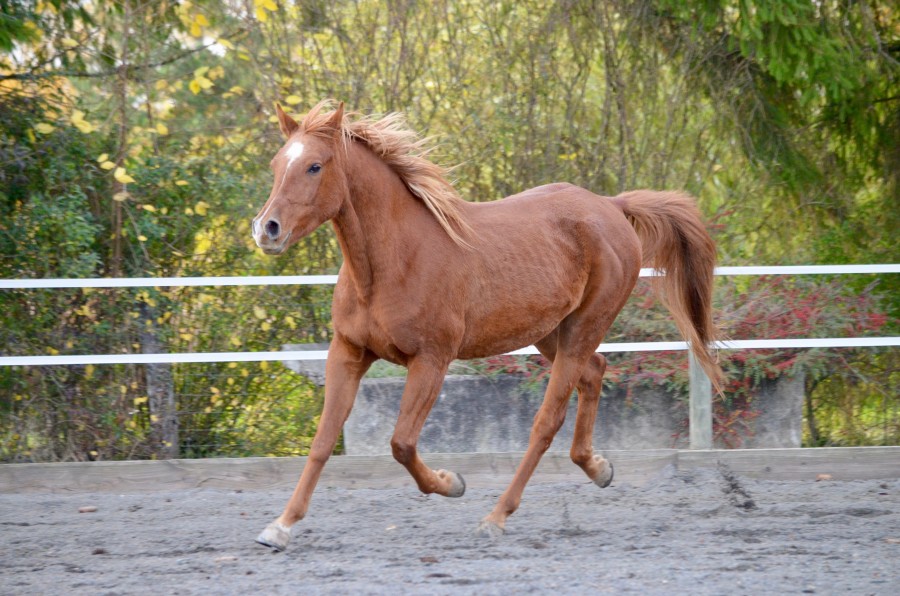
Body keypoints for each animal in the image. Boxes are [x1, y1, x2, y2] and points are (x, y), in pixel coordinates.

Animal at [253, 101, 724, 548]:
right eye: (276, 165)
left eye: (315, 165)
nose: (266, 229)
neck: (393, 263)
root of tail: (611, 206)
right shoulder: (348, 352)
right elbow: (322, 441)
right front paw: (280, 527)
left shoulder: (432, 360)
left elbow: (401, 444)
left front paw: (452, 483)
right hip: (552, 333)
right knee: (595, 373)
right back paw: (598, 468)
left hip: (583, 329)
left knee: (547, 421)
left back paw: (496, 518)